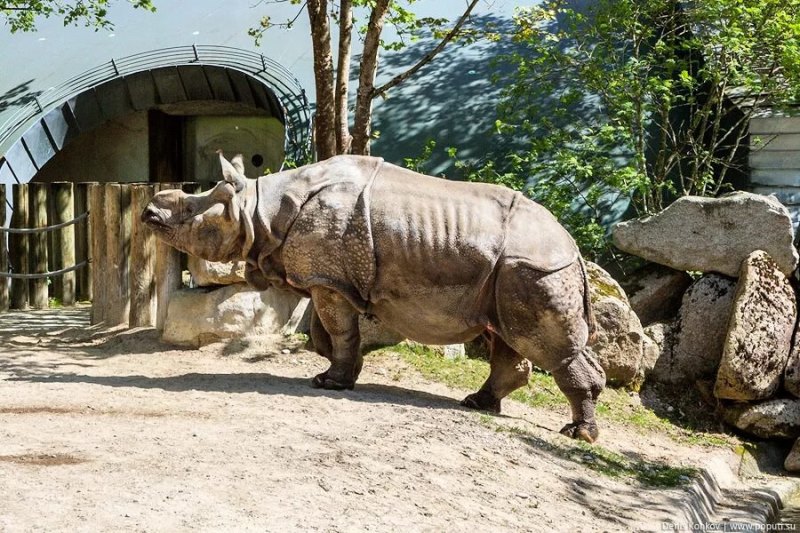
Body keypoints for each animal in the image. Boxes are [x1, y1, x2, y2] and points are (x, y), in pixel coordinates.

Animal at [142, 153, 606, 442]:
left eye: (189, 214)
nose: (149, 212)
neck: (258, 208)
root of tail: (573, 244)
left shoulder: (326, 277)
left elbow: (338, 330)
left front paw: (329, 383)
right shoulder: (329, 276)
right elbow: (326, 333)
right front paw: (343, 373)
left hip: (535, 268)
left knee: (540, 341)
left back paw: (579, 434)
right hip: (506, 273)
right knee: (505, 333)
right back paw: (478, 404)